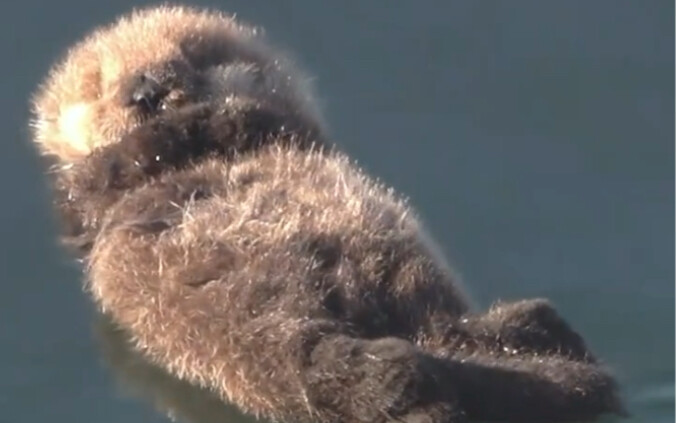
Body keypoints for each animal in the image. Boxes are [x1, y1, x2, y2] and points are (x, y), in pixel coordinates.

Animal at [30, 6, 624, 423]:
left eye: (195, 51)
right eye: (97, 87)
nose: (148, 87)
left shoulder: (294, 124)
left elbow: (263, 113)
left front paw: (219, 109)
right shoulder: (91, 202)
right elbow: (104, 174)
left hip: (415, 308)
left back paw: (539, 340)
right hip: (271, 335)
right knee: (361, 375)